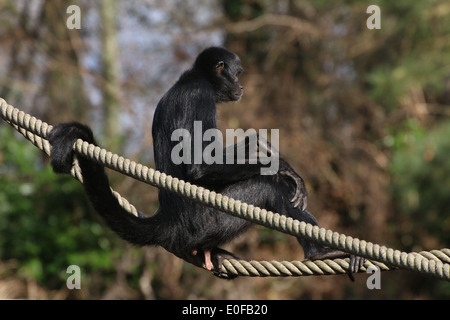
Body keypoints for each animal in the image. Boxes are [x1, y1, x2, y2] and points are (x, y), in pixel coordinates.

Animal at [49, 46, 364, 278]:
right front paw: (279, 167)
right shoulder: (199, 96)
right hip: (205, 223)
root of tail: (170, 221)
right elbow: (198, 166)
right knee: (267, 188)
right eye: (237, 74)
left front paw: (257, 146)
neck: (191, 78)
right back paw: (320, 252)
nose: (241, 86)